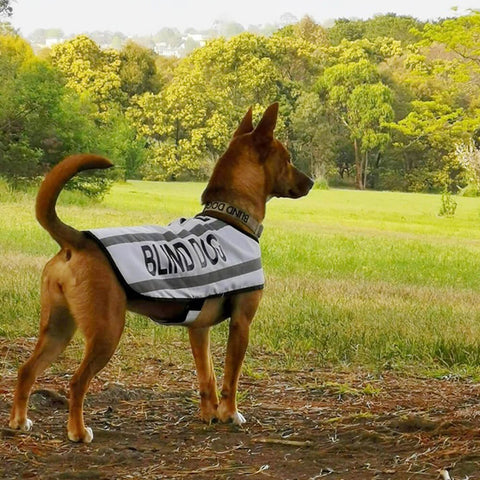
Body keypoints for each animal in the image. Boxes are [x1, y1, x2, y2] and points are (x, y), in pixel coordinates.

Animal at [10, 104, 316, 442]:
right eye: (287, 158)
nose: (312, 182)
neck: (231, 215)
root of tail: (77, 238)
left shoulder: (199, 328)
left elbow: (207, 376)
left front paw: (209, 414)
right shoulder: (241, 322)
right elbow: (230, 378)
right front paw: (229, 414)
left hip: (58, 329)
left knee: (26, 370)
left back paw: (19, 421)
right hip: (106, 331)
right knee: (77, 382)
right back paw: (77, 431)